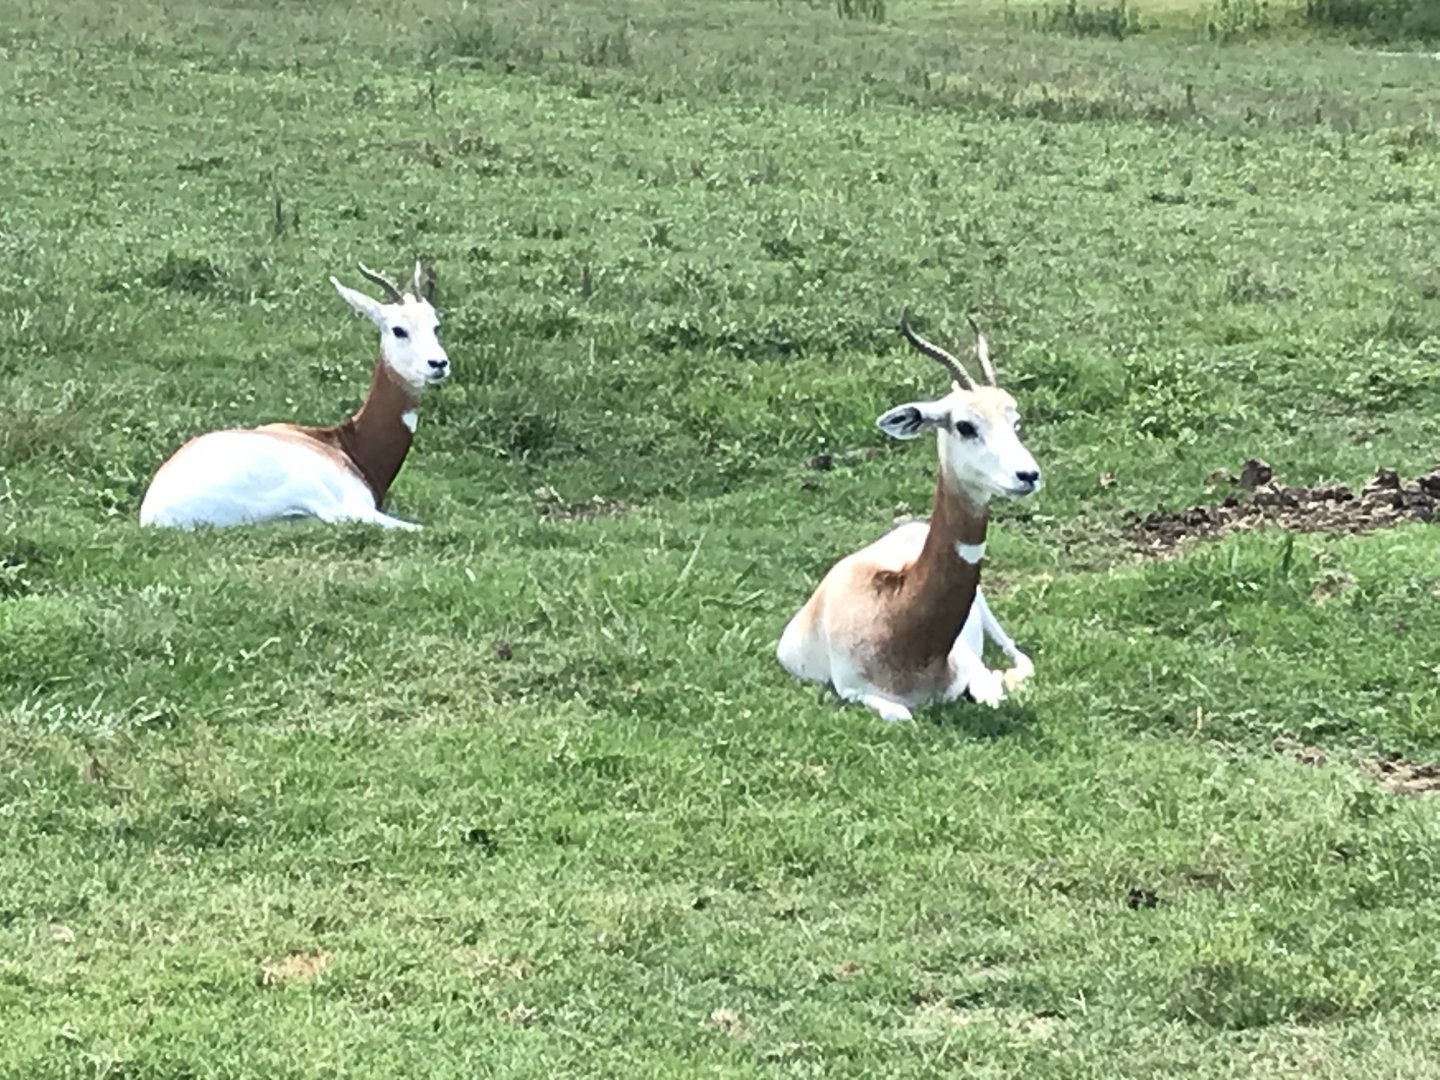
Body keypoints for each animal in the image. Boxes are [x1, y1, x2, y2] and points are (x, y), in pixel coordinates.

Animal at [776, 312, 1042, 722]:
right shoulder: (851, 690)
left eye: (1014, 422)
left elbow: (993, 691)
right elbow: (902, 715)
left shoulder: (972, 668)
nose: (1028, 475)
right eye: (965, 425)